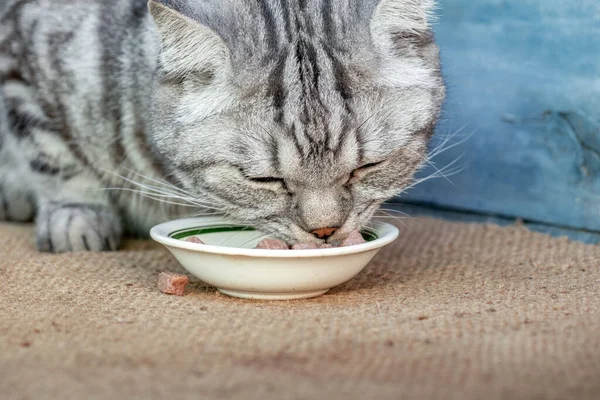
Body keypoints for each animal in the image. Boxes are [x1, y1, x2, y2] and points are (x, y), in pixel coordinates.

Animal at [0, 0, 446, 252]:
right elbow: (51, 154)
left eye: (367, 167)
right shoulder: (17, 62)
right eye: (264, 180)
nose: (325, 232)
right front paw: (76, 215)